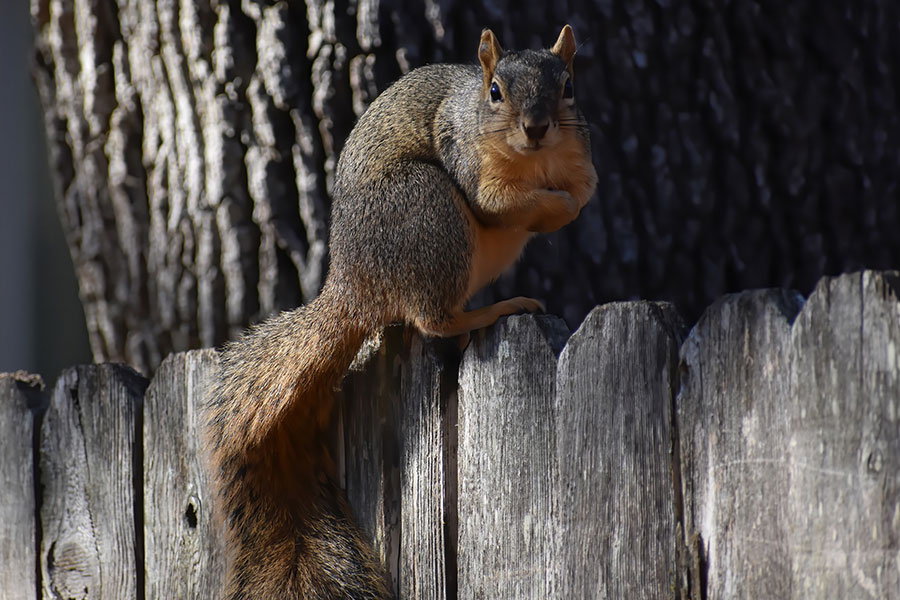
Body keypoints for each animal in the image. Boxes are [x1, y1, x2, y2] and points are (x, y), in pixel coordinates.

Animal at [206, 24, 598, 599]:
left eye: (569, 86)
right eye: (496, 92)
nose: (537, 127)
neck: (534, 163)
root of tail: (353, 284)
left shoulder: (577, 153)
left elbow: (584, 189)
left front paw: (569, 204)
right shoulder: (466, 159)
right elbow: (498, 205)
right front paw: (557, 206)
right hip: (428, 209)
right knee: (433, 318)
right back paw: (494, 309)